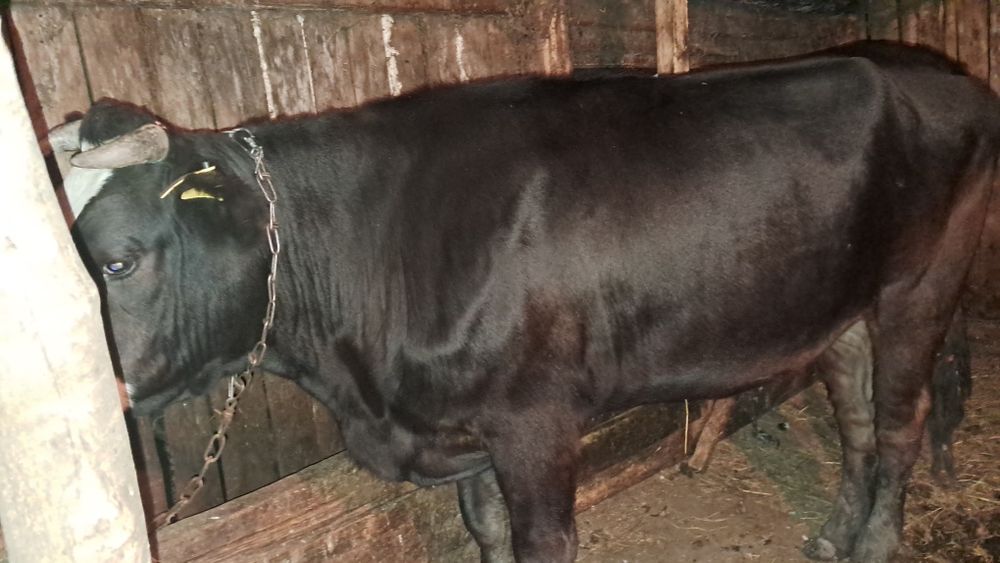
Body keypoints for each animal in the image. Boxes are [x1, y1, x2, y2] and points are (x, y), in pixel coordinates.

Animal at [54, 41, 999, 562]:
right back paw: (836, 534)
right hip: (839, 308)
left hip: (922, 286)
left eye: (119, 261)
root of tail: (941, 72)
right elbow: (488, 530)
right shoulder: (464, 427)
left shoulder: (535, 420)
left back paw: (876, 542)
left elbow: (543, 540)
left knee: (902, 421)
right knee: (857, 419)